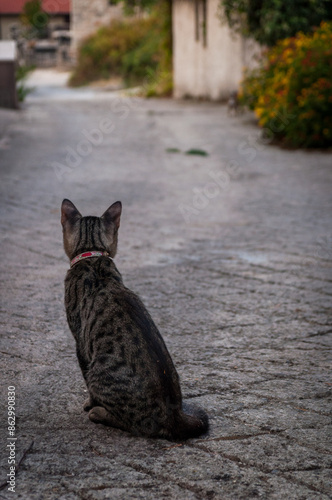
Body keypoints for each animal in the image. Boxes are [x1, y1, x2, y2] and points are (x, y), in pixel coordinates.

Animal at [61, 199, 209, 442]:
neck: (93, 257)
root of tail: (174, 415)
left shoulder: (80, 341)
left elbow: (87, 384)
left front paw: (89, 404)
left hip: (98, 369)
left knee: (136, 425)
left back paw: (99, 412)